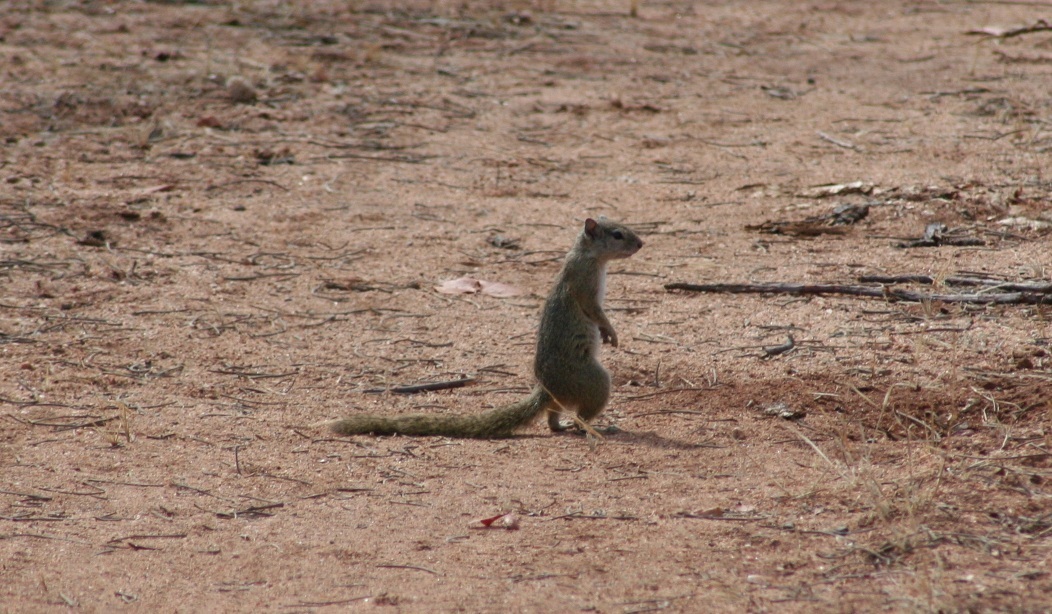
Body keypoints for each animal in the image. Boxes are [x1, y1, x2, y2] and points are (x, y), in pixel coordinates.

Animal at [319, 215, 639, 437]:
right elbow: (596, 312)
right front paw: (611, 333)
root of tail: (545, 388)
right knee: (581, 415)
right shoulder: (584, 285)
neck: (587, 256)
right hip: (595, 382)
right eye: (617, 234)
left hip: (563, 396)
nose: (641, 244)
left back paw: (561, 426)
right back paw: (599, 428)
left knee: (552, 415)